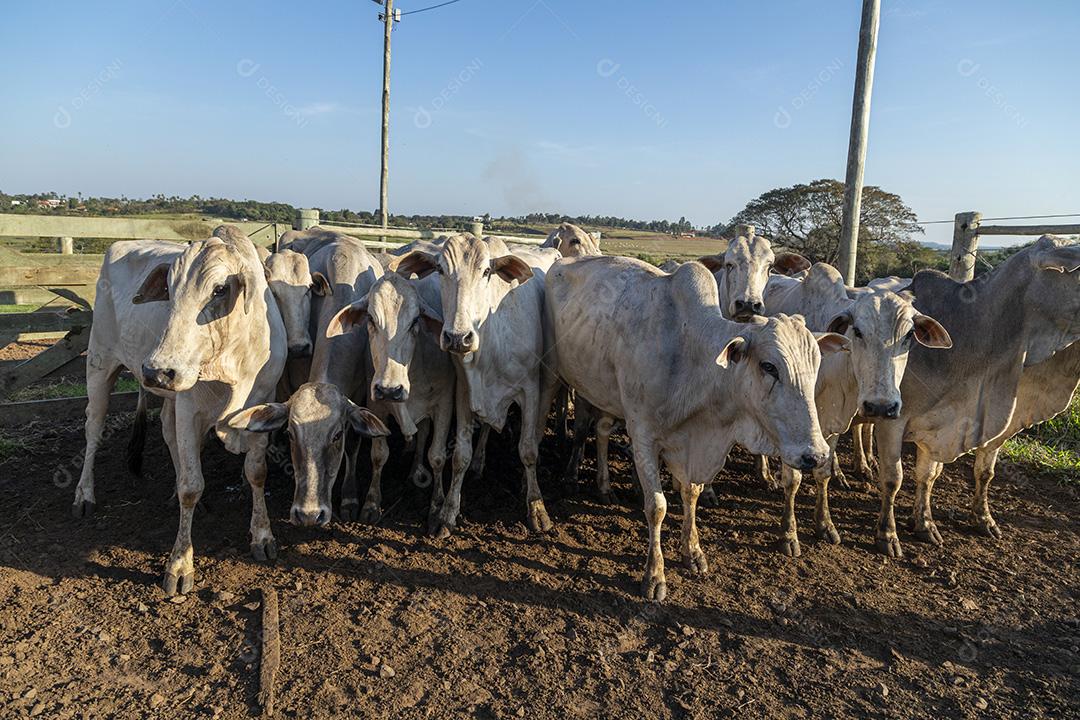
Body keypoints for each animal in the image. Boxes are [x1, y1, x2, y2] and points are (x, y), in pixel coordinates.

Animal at [72, 228, 289, 595]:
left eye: (220, 289)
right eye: (169, 291)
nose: (157, 371)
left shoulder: (261, 404)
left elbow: (256, 473)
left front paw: (262, 536)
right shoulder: (189, 407)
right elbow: (192, 484)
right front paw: (179, 565)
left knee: (166, 431)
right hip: (100, 364)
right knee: (93, 430)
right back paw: (84, 494)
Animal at [325, 271, 456, 525]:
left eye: (415, 321)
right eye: (371, 319)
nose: (390, 389)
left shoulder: (445, 403)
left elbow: (437, 456)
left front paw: (437, 509)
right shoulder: (377, 405)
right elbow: (379, 455)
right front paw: (371, 503)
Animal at [391, 233, 561, 537]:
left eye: (486, 272)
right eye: (440, 269)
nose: (458, 337)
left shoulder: (530, 389)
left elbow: (528, 450)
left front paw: (537, 508)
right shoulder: (464, 391)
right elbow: (460, 455)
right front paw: (447, 513)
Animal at [545, 255, 847, 600]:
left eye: (816, 364)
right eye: (769, 366)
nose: (817, 454)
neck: (690, 356)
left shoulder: (691, 445)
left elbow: (691, 493)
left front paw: (693, 551)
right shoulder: (643, 433)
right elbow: (657, 507)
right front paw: (655, 575)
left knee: (604, 429)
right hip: (569, 382)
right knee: (584, 427)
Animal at [870, 236, 1080, 557]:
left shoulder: (970, 424)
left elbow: (955, 474)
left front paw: (933, 523)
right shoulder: (892, 419)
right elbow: (893, 478)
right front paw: (887, 534)